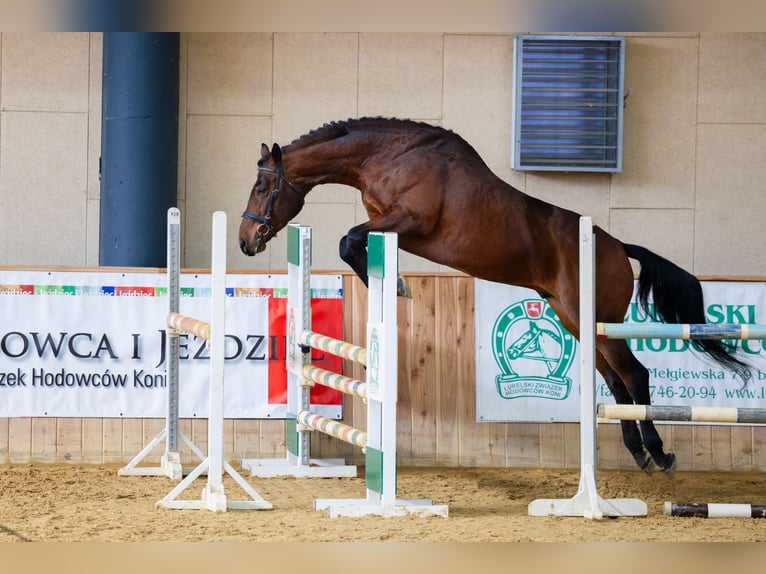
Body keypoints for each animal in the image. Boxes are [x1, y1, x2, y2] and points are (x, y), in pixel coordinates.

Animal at [238, 117, 748, 473]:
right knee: (617, 381)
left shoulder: (410, 221)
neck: (390, 155)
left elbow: (348, 240)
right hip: (577, 320)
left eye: (263, 186)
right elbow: (352, 243)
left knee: (635, 375)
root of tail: (619, 247)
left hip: (593, 317)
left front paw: (394, 284)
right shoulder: (391, 225)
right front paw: (389, 280)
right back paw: (637, 452)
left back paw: (659, 455)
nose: (246, 241)